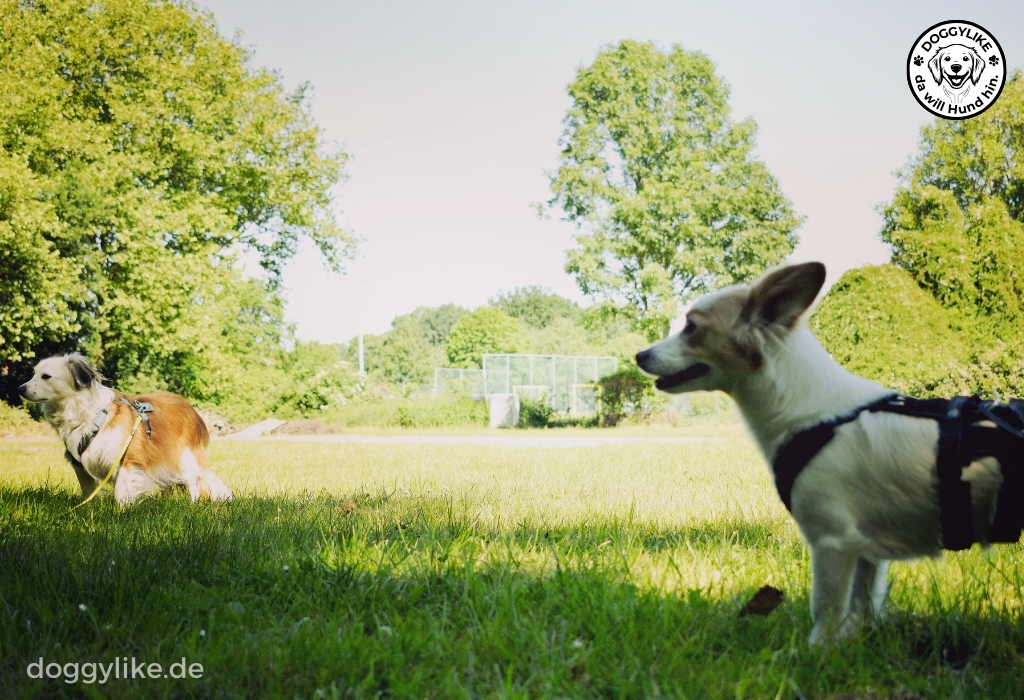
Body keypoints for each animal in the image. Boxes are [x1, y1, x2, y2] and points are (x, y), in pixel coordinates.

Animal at [19, 352, 232, 505]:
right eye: (33, 374)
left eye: (46, 376)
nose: (20, 389)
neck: (87, 414)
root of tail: (190, 407)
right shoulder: (79, 466)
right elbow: (88, 493)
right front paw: (88, 512)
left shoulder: (126, 460)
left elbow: (121, 493)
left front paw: (121, 514)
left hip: (182, 456)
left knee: (193, 480)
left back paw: (192, 504)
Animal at [634, 261, 1003, 646]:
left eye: (691, 327)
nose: (639, 355)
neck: (816, 416)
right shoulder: (867, 552)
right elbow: (861, 606)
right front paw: (855, 645)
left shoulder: (833, 542)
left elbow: (825, 610)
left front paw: (813, 651)